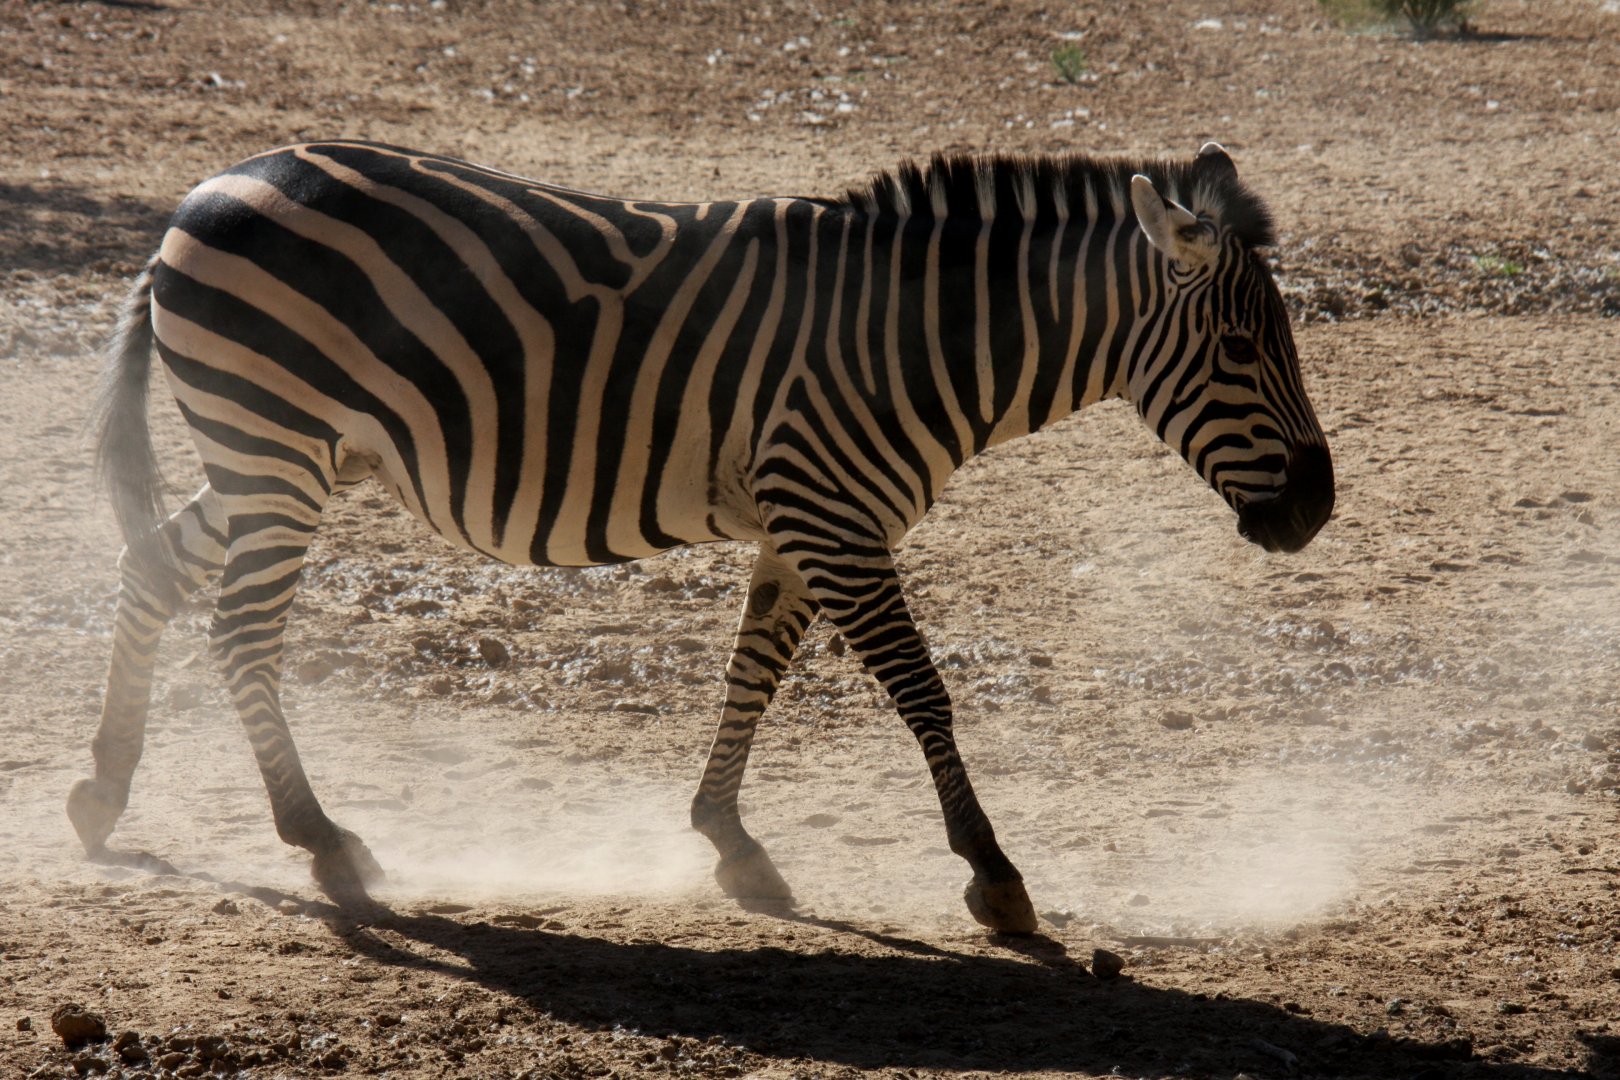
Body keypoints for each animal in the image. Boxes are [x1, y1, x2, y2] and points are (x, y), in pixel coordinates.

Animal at [72, 139, 1333, 933]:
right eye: (1240, 349)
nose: (1317, 509)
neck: (913, 335)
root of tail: (198, 195)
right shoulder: (834, 514)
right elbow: (921, 690)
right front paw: (994, 875)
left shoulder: (805, 519)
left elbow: (753, 672)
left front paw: (727, 838)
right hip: (275, 444)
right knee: (239, 631)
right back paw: (320, 838)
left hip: (268, 457)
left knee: (151, 567)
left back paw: (104, 791)